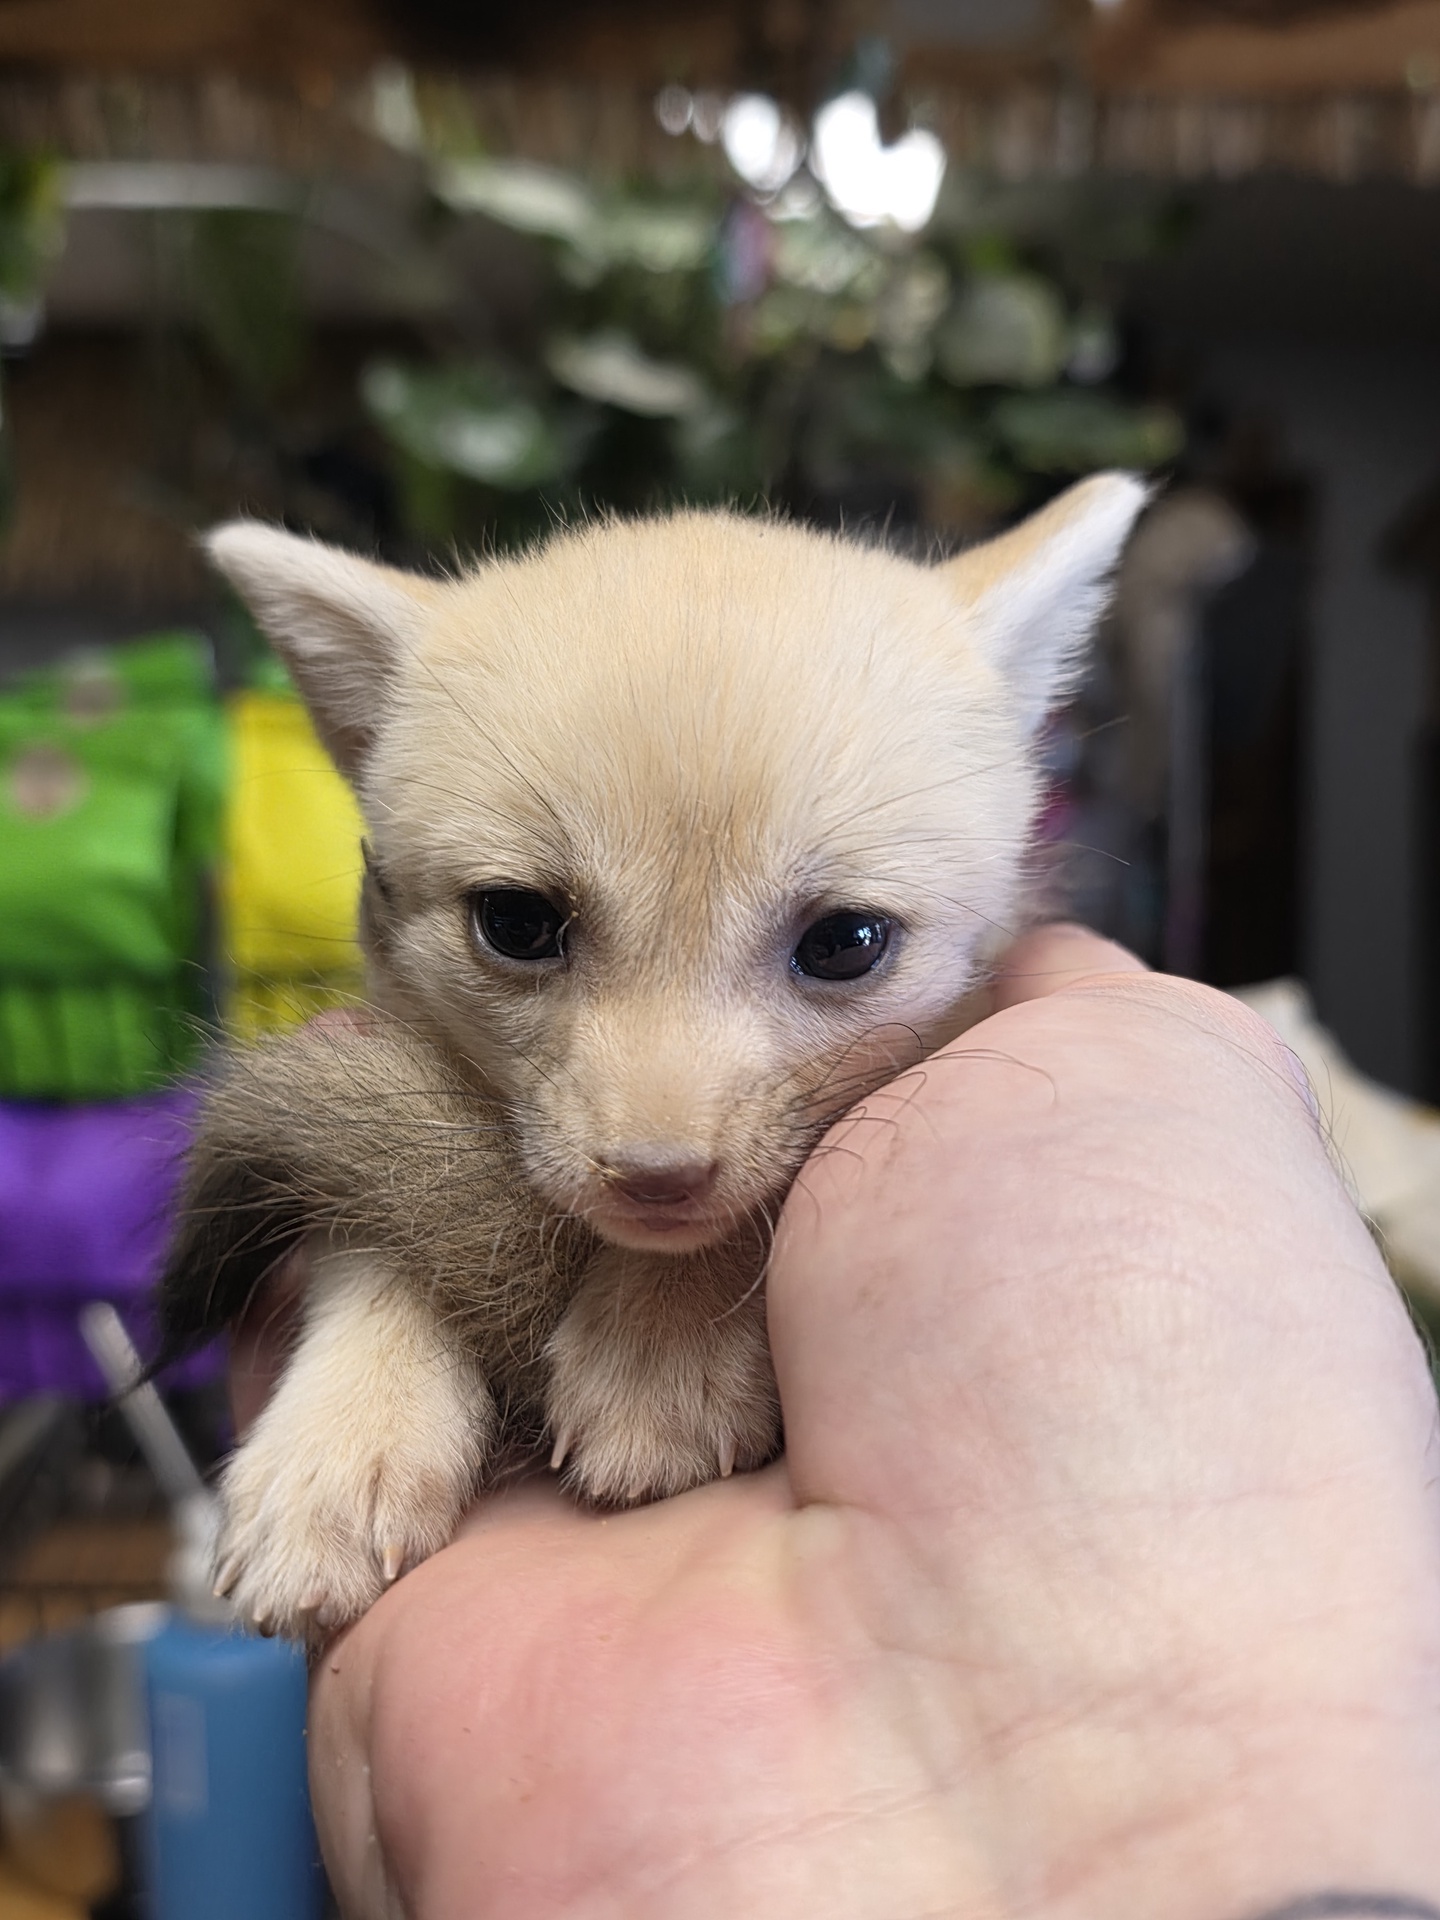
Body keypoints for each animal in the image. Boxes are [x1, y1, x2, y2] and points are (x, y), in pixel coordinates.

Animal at [162, 473, 1149, 1641]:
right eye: (517, 923)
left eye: (845, 943)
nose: (654, 1180)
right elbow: (377, 1231)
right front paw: (342, 1431)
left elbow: (760, 1200)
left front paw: (662, 1342)